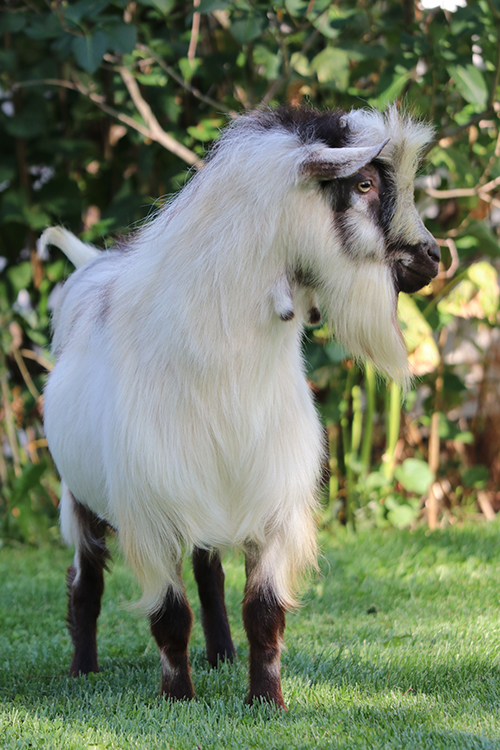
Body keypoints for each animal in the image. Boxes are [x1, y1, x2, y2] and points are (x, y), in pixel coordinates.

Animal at [40, 105, 439, 709]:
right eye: (364, 185)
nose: (433, 257)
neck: (229, 373)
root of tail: (91, 264)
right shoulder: (150, 511)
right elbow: (169, 616)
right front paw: (179, 699)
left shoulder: (272, 502)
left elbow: (263, 611)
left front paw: (266, 701)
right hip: (79, 495)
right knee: (86, 583)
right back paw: (82, 669)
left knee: (209, 574)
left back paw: (222, 654)